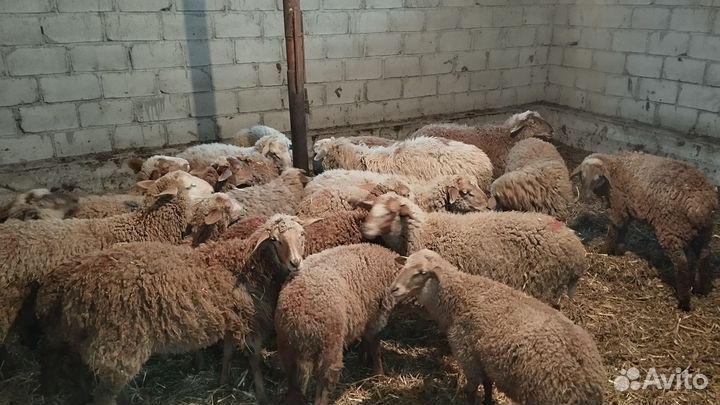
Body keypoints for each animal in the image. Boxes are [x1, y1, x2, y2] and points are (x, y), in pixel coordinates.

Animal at [36, 214, 315, 405]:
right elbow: (254, 361)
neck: (247, 263)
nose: (295, 263)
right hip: (119, 342)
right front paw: (262, 394)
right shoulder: (250, 321)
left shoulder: (229, 317)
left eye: (302, 235)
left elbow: (227, 353)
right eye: (275, 241)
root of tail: (74, 286)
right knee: (103, 393)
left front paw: (223, 381)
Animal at [275, 243, 400, 405]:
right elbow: (376, 350)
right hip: (329, 347)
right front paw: (380, 376)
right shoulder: (375, 320)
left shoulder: (365, 319)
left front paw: (363, 359)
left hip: (287, 351)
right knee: (322, 389)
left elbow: (366, 343)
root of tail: (296, 320)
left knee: (293, 388)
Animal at [362, 193, 587, 307]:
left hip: (545, 282)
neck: (424, 229)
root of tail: (577, 247)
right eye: (371, 210)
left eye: (389, 213)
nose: (365, 229)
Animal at [391, 249, 605, 405]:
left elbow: (471, 390)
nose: (393, 289)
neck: (459, 296)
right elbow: (487, 385)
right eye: (405, 265)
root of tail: (590, 383)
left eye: (421, 273)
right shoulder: (485, 360)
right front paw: (487, 401)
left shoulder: (468, 357)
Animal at [571, 152, 718, 311]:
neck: (615, 168)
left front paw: (604, 251)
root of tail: (703, 206)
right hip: (703, 232)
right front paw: (619, 251)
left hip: (672, 229)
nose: (586, 197)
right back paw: (702, 289)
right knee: (704, 255)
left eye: (598, 177)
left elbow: (614, 229)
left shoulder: (619, 204)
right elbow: (623, 230)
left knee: (681, 263)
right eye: (582, 175)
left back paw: (684, 303)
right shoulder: (626, 209)